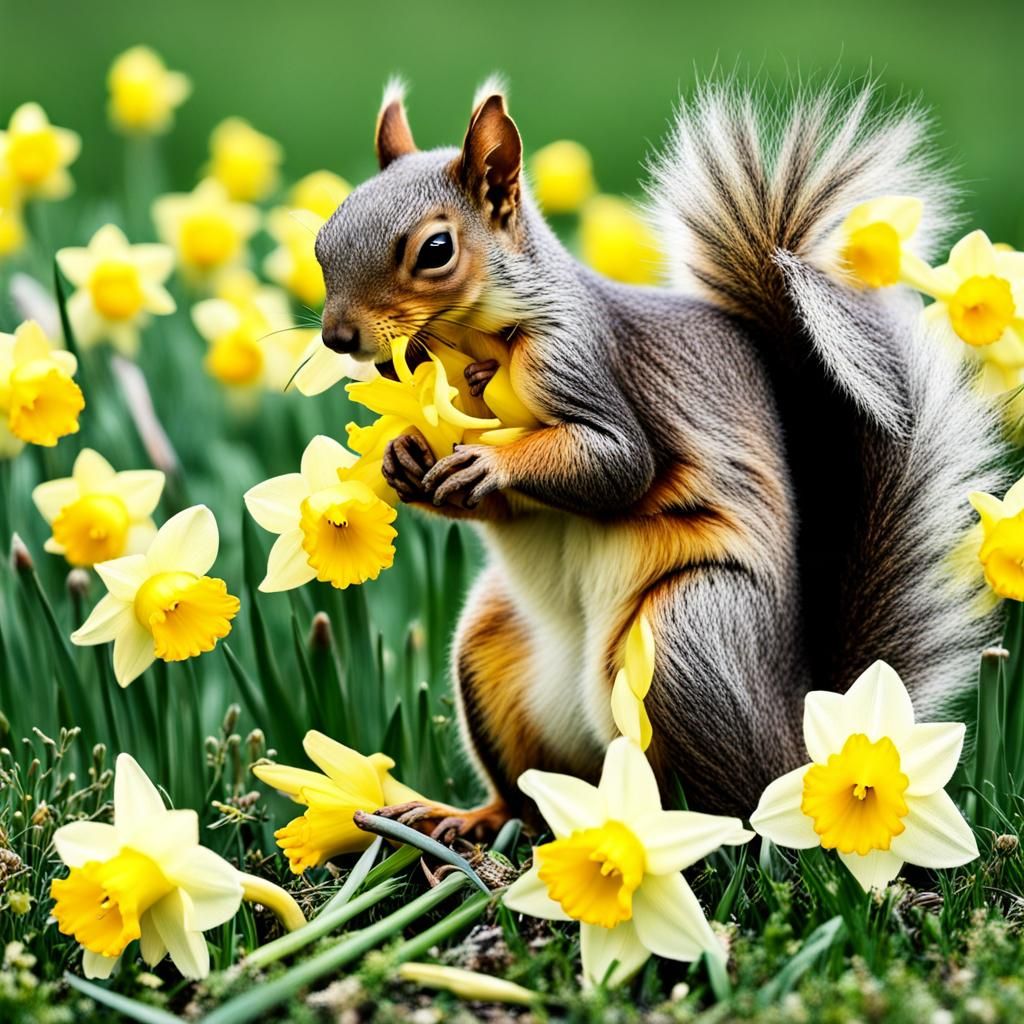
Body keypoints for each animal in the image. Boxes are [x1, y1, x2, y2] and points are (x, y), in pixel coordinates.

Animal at [313, 78, 1002, 828]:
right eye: (322, 240)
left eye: (436, 249)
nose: (338, 337)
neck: (461, 344)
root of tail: (798, 741)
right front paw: (404, 457)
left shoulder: (579, 362)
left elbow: (618, 464)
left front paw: (490, 462)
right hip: (488, 651)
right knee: (525, 799)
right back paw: (468, 820)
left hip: (688, 639)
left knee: (738, 815)